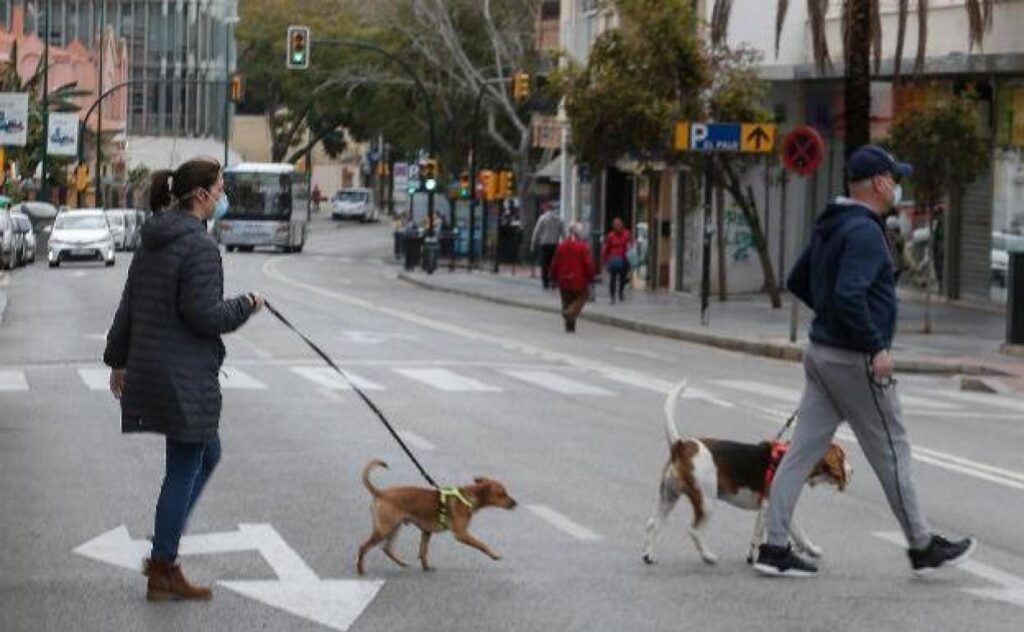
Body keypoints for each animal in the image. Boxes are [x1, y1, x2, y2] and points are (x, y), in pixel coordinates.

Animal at [360, 456, 520, 573]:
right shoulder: (461, 534)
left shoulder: (426, 531)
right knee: (364, 546)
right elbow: (481, 544)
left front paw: (426, 567)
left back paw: (402, 563)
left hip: (394, 527)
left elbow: (423, 551)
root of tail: (380, 493)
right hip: (385, 528)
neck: (468, 496)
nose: (515, 503)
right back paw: (360, 569)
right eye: (502, 494)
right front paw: (494, 555)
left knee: (386, 548)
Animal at [638, 378, 847, 565]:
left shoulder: (775, 508)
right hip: (706, 501)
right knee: (694, 531)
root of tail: (681, 445)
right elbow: (764, 536)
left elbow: (797, 532)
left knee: (652, 525)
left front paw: (811, 549)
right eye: (843, 456)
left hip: (668, 497)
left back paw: (649, 555)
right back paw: (708, 556)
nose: (852, 471)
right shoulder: (769, 506)